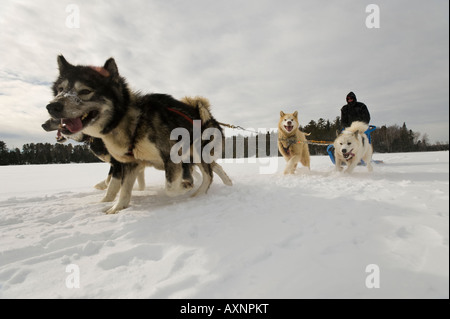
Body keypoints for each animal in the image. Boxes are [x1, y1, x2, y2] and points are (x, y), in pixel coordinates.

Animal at [44, 55, 232, 215]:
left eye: (84, 91)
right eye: (60, 90)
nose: (51, 107)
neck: (131, 121)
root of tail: (208, 115)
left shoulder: (170, 157)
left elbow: (170, 188)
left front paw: (186, 186)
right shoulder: (130, 163)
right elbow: (123, 189)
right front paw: (116, 208)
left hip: (198, 153)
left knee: (209, 175)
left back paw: (198, 194)